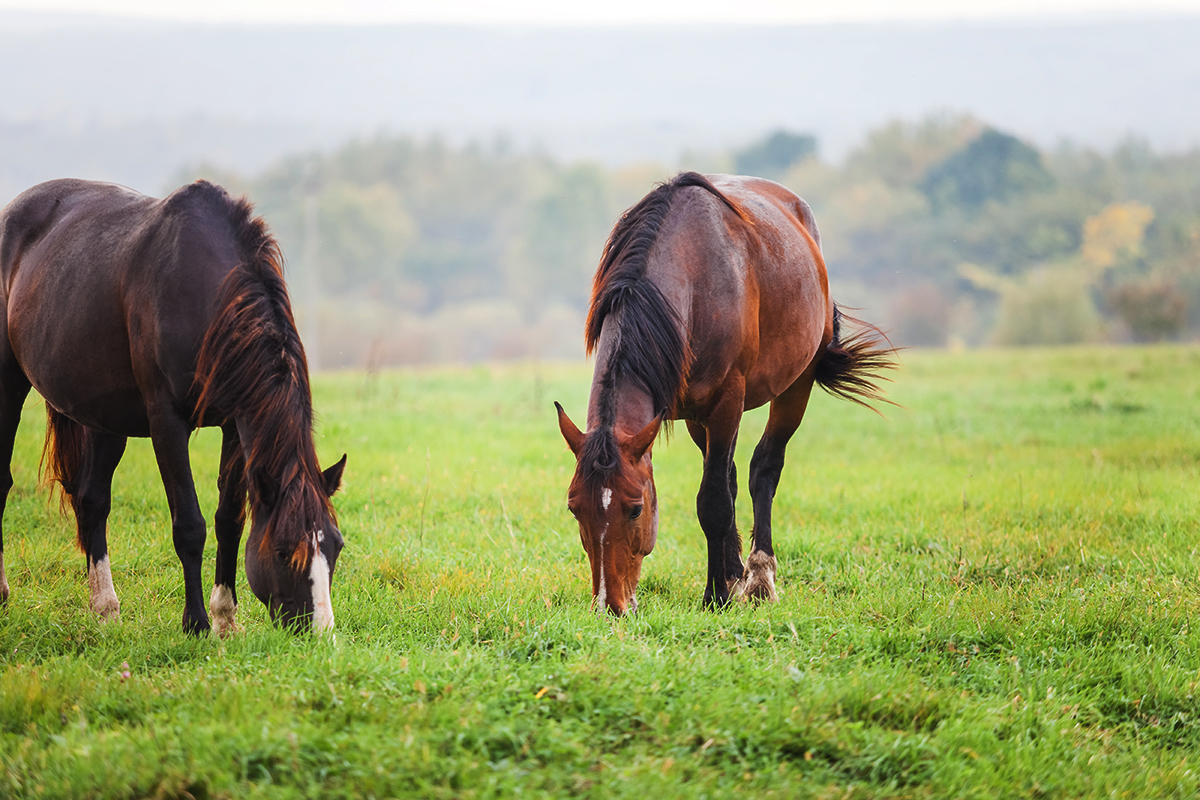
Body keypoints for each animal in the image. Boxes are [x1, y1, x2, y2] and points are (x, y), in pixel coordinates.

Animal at [0, 178, 348, 633]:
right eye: (283, 550)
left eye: (336, 547)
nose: (320, 633)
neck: (205, 293)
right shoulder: (166, 422)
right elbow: (190, 526)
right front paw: (196, 623)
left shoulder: (234, 424)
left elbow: (229, 520)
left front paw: (225, 618)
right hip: (8, 384)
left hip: (105, 417)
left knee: (92, 501)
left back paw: (105, 608)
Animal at [552, 173, 892, 614]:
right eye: (574, 507)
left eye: (635, 508)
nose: (611, 606)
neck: (694, 275)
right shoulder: (693, 413)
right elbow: (720, 490)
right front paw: (727, 580)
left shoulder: (727, 402)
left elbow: (713, 501)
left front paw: (715, 594)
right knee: (729, 475)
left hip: (795, 386)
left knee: (764, 468)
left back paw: (760, 576)